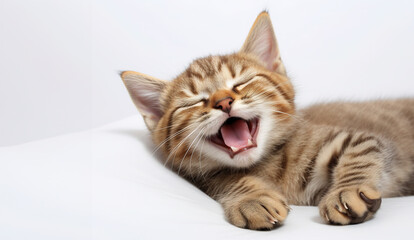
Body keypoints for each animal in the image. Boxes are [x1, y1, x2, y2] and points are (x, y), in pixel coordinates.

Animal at [120, 11, 414, 231]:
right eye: (194, 102)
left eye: (241, 83)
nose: (223, 102)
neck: (267, 165)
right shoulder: (203, 178)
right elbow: (228, 179)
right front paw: (253, 198)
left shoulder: (357, 138)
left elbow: (360, 155)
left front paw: (348, 190)